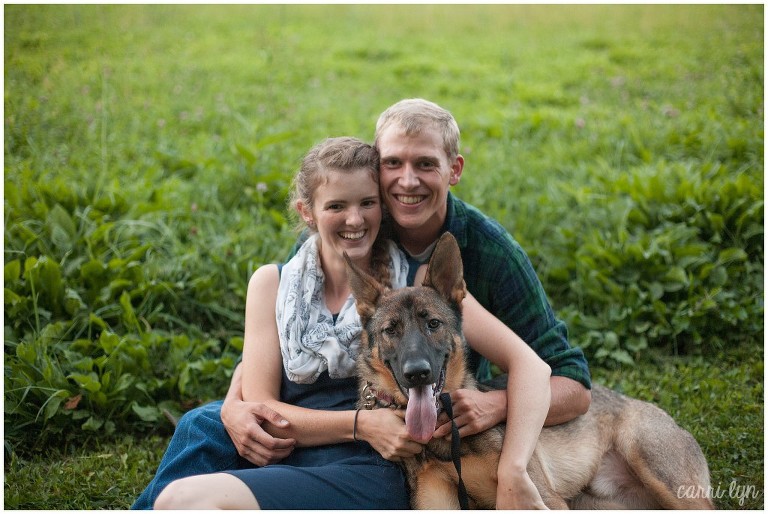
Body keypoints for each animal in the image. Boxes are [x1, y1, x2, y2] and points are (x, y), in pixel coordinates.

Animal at [344, 233, 712, 508]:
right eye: (391, 330)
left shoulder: (540, 497)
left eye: (432, 324)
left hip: (657, 471)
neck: (444, 441)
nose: (417, 373)